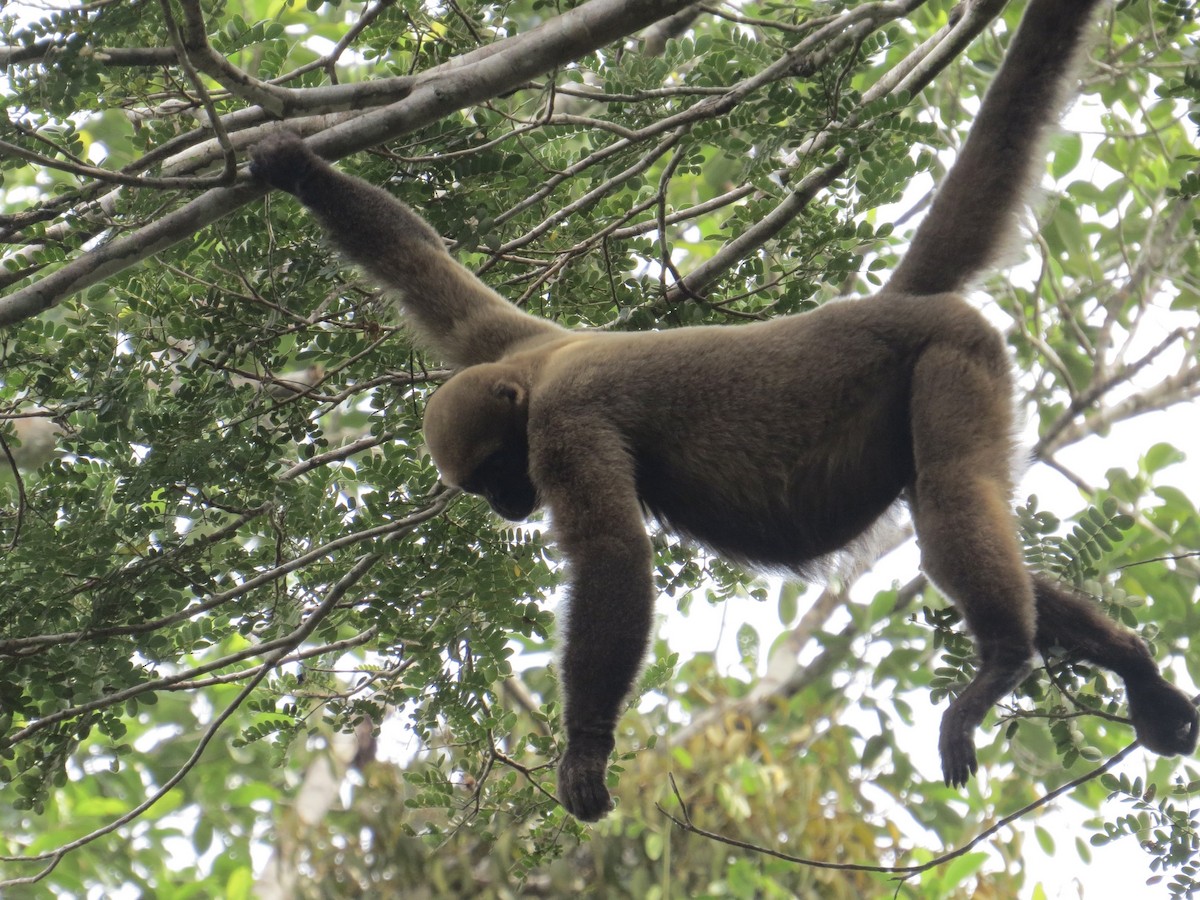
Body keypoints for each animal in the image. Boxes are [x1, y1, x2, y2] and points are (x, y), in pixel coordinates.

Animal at [249, 0, 1198, 823]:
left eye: (495, 473)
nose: (507, 508)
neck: (534, 379)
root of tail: (888, 307)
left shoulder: (563, 421)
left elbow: (614, 554)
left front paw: (585, 751)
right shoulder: (501, 340)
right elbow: (418, 262)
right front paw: (295, 169)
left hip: (954, 357)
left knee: (952, 497)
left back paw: (1002, 663)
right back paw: (1132, 666)